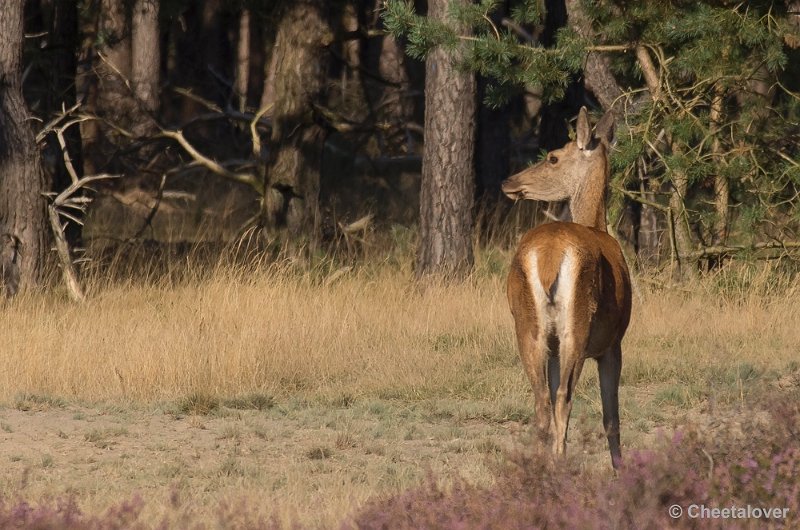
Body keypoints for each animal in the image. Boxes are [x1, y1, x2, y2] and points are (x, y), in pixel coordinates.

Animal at [506, 107, 632, 466]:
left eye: (552, 157)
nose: (509, 182)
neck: (597, 225)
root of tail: (548, 256)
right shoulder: (612, 343)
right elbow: (611, 419)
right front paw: (621, 470)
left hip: (528, 325)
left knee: (541, 401)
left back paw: (540, 466)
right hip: (577, 325)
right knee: (563, 397)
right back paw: (560, 464)